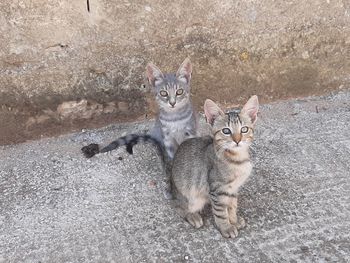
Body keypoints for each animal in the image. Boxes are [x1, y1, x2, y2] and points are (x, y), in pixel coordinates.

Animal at [171, 95, 258, 239]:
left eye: (244, 129)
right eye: (226, 131)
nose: (237, 140)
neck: (238, 159)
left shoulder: (232, 189)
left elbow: (232, 206)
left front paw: (234, 220)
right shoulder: (217, 189)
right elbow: (221, 212)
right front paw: (226, 227)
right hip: (191, 196)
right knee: (179, 208)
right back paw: (193, 216)